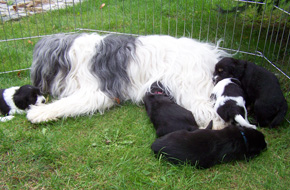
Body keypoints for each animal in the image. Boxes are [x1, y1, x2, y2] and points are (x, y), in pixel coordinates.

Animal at [26, 33, 229, 129]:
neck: (71, 56)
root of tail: (211, 55)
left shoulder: (98, 90)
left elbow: (68, 103)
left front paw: (39, 112)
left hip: (190, 86)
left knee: (213, 113)